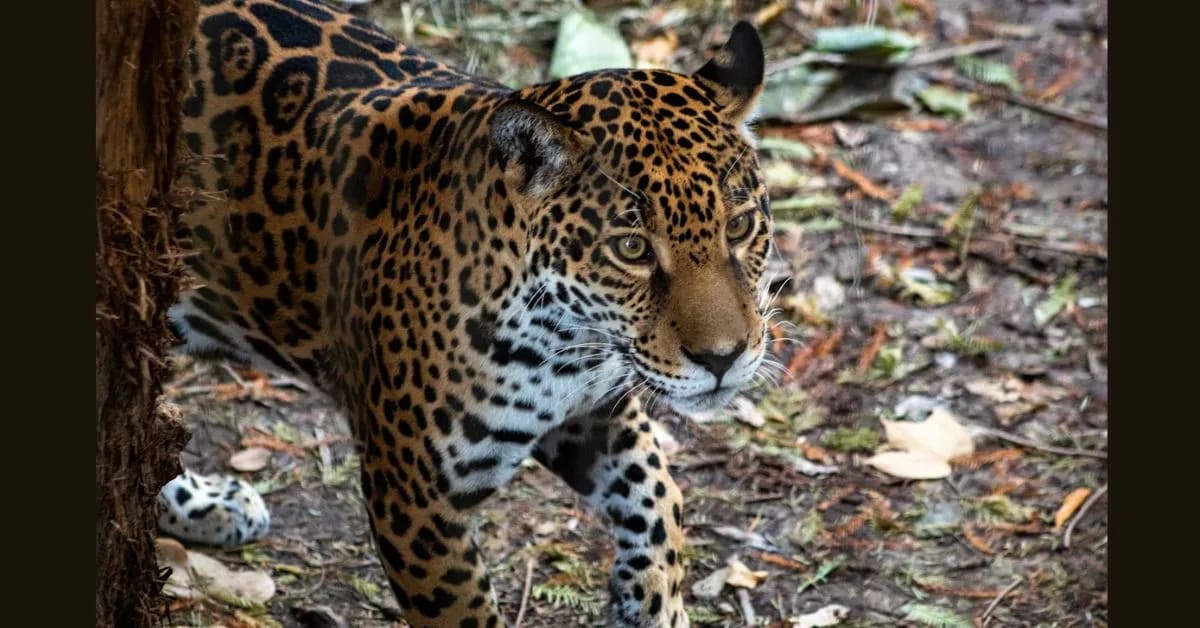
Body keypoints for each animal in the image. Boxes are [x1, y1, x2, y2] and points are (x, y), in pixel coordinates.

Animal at [169, 1, 774, 626]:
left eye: (739, 226)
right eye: (631, 249)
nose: (723, 359)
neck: (556, 342)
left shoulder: (593, 412)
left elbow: (659, 498)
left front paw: (654, 602)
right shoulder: (414, 499)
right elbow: (464, 608)